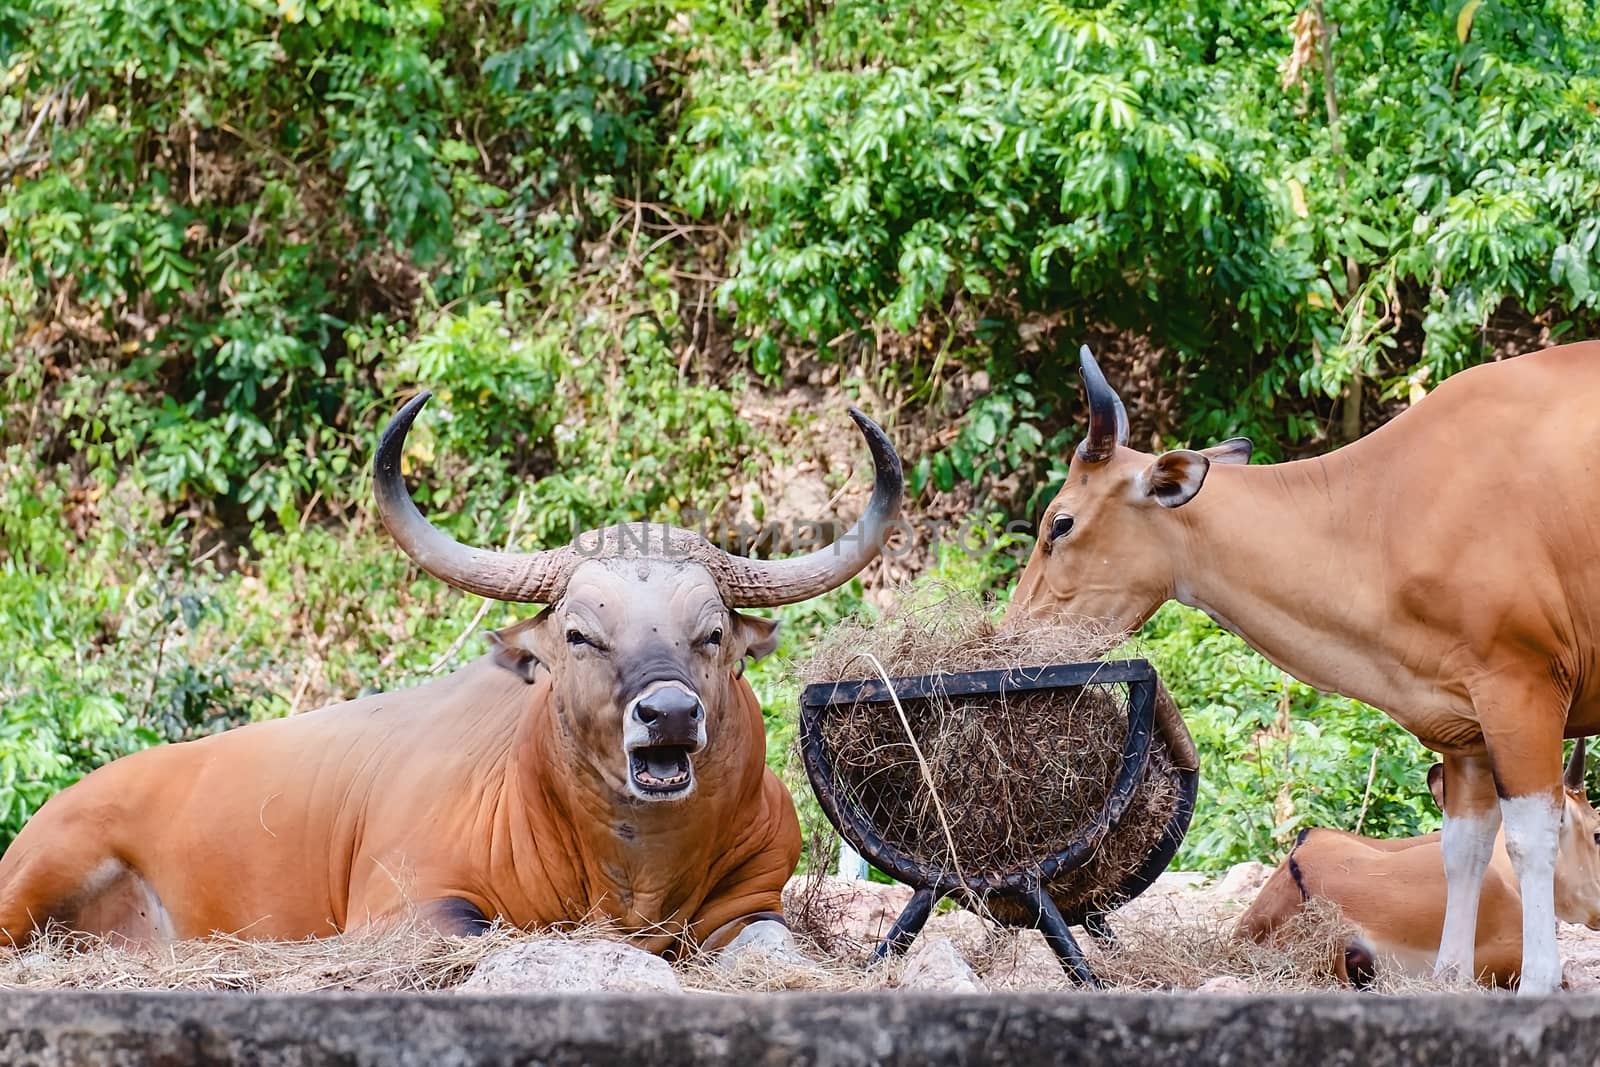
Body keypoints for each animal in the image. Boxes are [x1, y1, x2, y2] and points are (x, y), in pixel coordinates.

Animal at [0, 395, 902, 959]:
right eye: (581, 633)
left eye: (711, 632)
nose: (669, 714)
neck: (633, 873)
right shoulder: (404, 906)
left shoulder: (753, 904)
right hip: (36, 874)